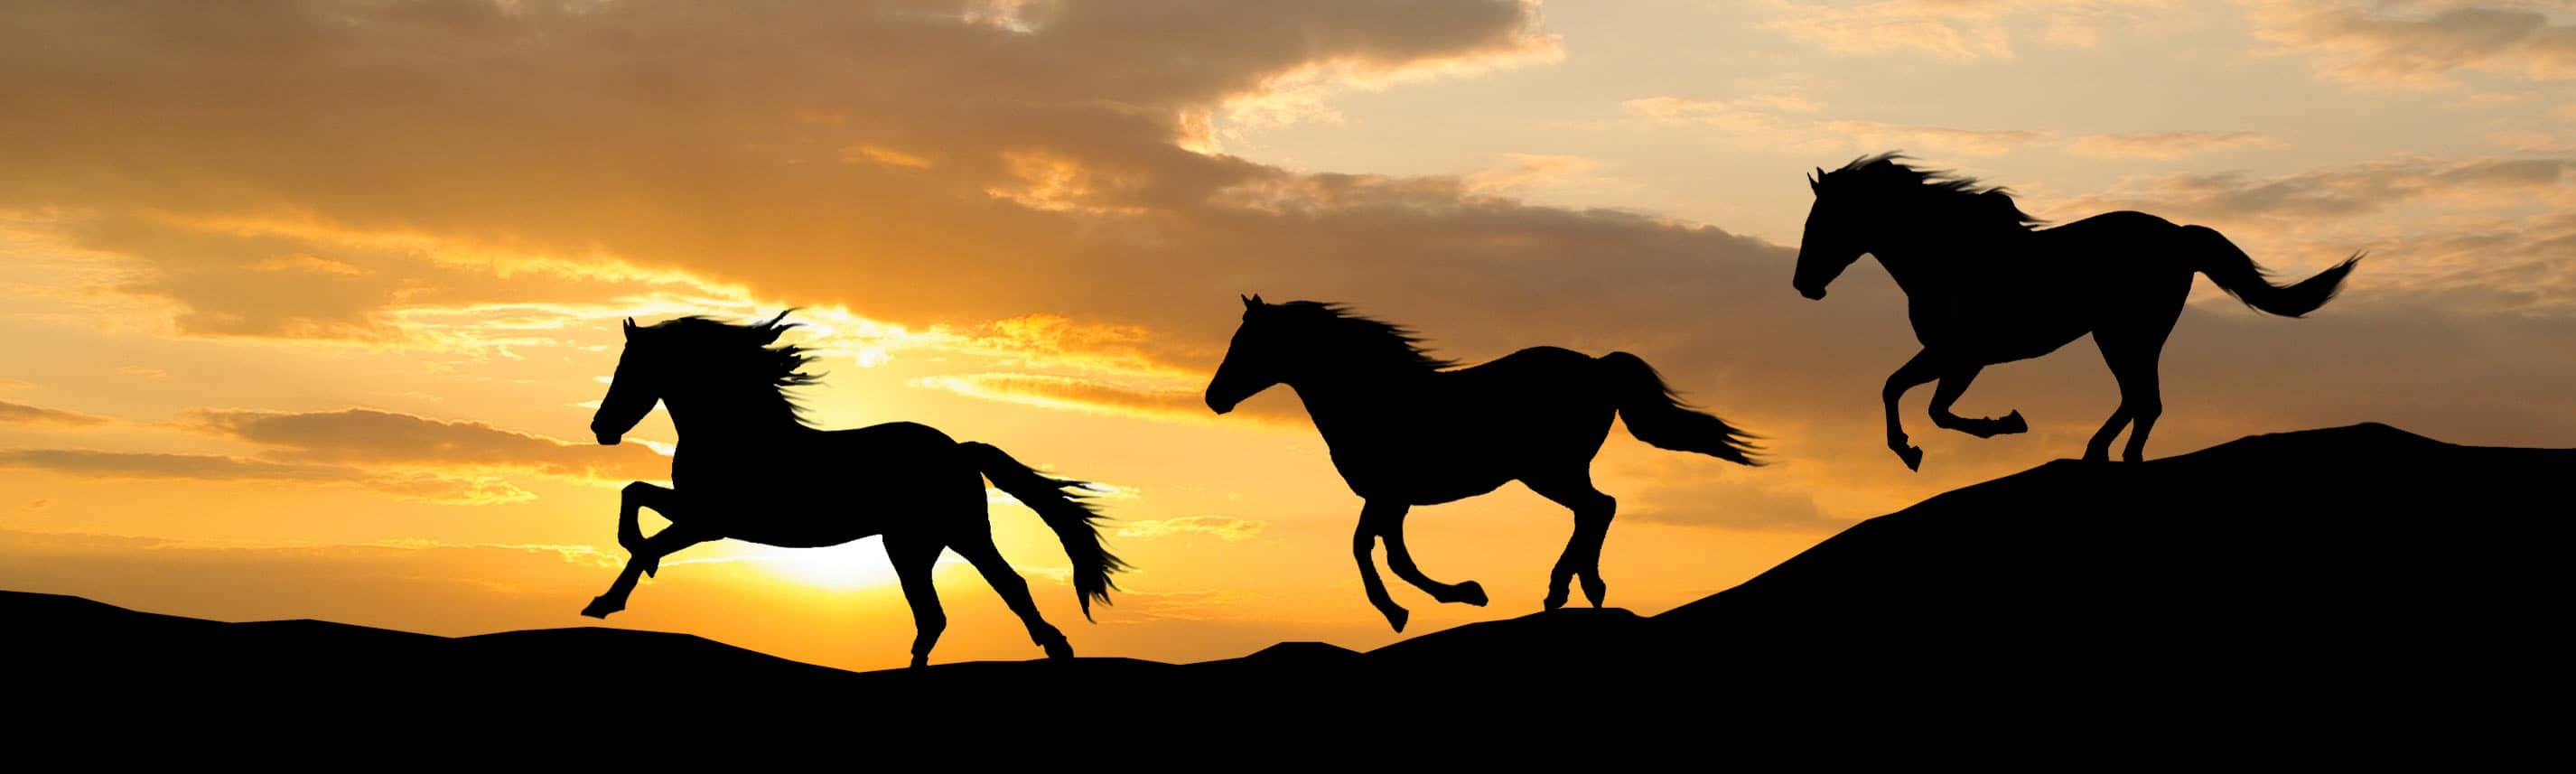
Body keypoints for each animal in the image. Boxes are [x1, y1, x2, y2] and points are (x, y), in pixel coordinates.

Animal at [581, 310, 1129, 668]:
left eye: (630, 370)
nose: (600, 429)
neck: (738, 432)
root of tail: (957, 449)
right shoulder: (700, 516)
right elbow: (634, 494)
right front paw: (621, 582)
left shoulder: (709, 521)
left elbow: (642, 529)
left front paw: (607, 600)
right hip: (919, 545)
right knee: (940, 613)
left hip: (951, 536)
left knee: (998, 591)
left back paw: (1056, 650)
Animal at [1204, 295, 1764, 632]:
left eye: (1246, 344)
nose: (1214, 398)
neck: (1374, 397)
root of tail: (1598, 367)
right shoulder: (1391, 499)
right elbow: (1387, 553)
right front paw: (1455, 597)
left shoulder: (1389, 495)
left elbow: (1372, 552)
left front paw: (1411, 608)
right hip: (1557, 470)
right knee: (1596, 509)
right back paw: (1584, 587)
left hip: (1548, 470)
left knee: (1598, 507)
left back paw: (1566, 589)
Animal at [1791, 152, 2363, 470]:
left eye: (1822, 222)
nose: (1803, 285)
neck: (1949, 254)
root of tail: (2178, 235)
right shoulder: (1950, 355)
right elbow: (1897, 390)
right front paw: (1911, 450)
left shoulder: (1963, 356)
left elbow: (1930, 407)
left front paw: (2001, 425)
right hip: (2127, 337)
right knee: (2141, 400)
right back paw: (2110, 455)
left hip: (2125, 334)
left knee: (2144, 400)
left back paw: (2108, 456)